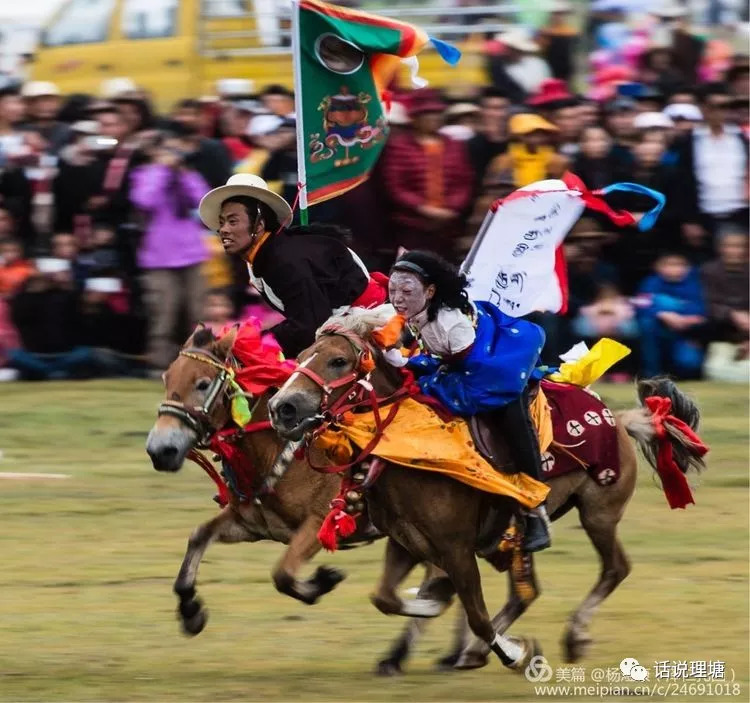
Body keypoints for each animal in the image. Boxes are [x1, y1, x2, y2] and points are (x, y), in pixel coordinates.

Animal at [272, 308, 712, 672]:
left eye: (338, 360)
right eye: (303, 353)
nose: (282, 407)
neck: (413, 445)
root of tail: (619, 419)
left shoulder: (456, 548)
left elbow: (477, 615)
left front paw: (515, 651)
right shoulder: (405, 543)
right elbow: (386, 597)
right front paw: (430, 605)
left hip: (598, 513)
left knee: (614, 568)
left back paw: (572, 637)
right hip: (516, 535)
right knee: (527, 592)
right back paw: (474, 651)